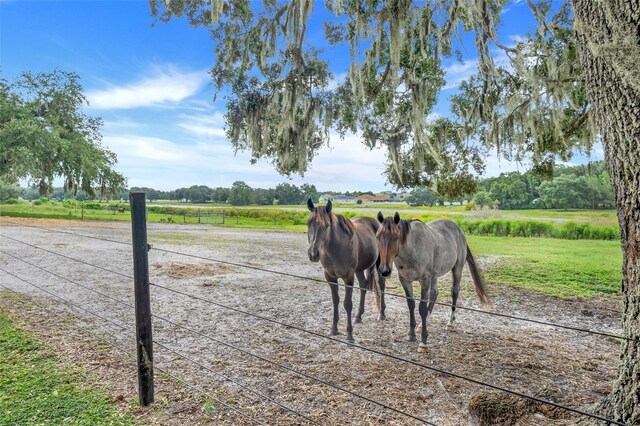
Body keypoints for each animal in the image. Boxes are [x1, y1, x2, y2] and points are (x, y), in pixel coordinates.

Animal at [306, 199, 384, 342]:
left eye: (326, 225)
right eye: (308, 223)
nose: (313, 254)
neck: (336, 249)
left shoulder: (348, 277)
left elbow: (347, 304)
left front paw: (349, 335)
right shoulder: (330, 277)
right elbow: (335, 300)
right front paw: (333, 329)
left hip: (379, 265)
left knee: (381, 286)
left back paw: (381, 314)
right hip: (359, 270)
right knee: (363, 286)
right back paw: (358, 316)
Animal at [376, 211, 490, 352]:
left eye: (396, 237)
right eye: (378, 236)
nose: (384, 271)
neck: (411, 249)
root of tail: (459, 230)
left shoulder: (425, 280)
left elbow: (422, 308)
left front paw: (423, 342)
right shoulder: (405, 280)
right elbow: (411, 305)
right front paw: (411, 334)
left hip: (456, 270)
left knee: (454, 292)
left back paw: (450, 323)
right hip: (434, 276)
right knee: (434, 293)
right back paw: (422, 324)